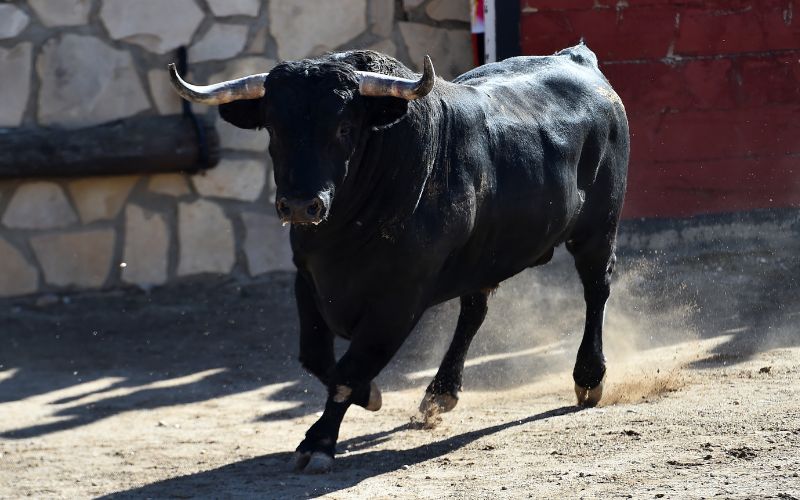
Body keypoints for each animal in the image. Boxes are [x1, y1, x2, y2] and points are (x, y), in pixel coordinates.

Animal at [172, 44, 628, 472]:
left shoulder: (399, 300)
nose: (301, 206)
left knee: (596, 289)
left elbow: (351, 368)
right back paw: (440, 393)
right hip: (483, 256)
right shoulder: (307, 279)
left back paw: (589, 377)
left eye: (344, 126)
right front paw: (369, 396)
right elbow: (317, 358)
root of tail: (579, 59)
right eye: (273, 127)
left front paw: (318, 443)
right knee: (474, 312)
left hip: (598, 228)